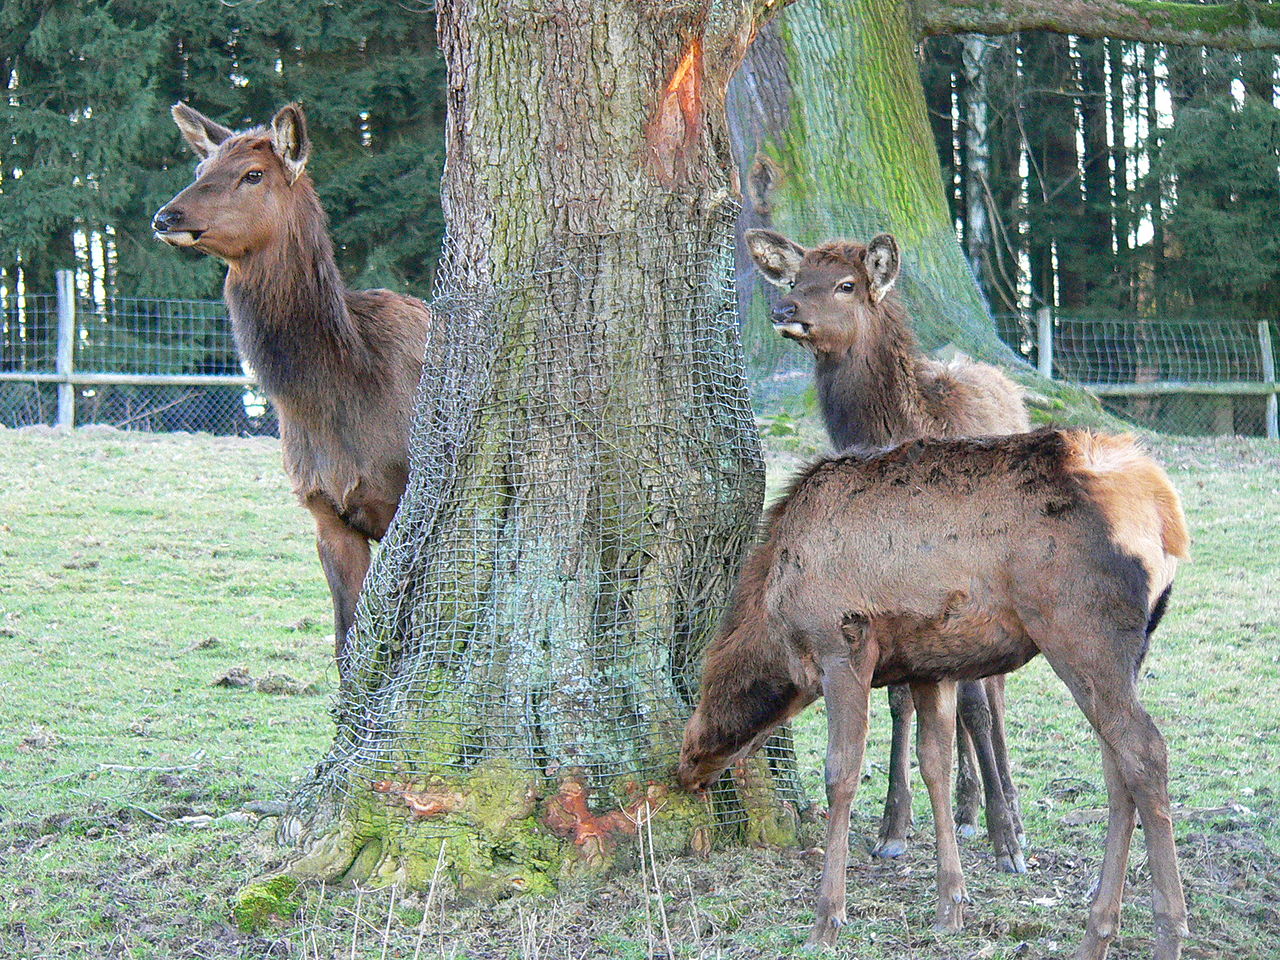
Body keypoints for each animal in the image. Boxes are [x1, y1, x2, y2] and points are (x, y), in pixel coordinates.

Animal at [152, 103, 432, 670]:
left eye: (253, 174)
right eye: (200, 169)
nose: (166, 217)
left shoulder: (405, 504)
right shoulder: (324, 510)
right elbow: (346, 646)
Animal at [680, 430, 1187, 960]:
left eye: (695, 716)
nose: (684, 771)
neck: (777, 619)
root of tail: (1164, 511)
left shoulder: (842, 643)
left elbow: (842, 773)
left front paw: (827, 917)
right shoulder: (930, 664)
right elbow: (934, 764)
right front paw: (951, 904)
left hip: (1080, 630)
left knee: (1146, 751)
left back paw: (1169, 931)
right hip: (1127, 650)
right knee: (1116, 770)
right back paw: (1097, 932)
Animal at [742, 231, 1029, 870]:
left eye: (846, 284)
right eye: (795, 278)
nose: (782, 309)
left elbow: (975, 706)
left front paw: (1007, 839)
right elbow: (900, 699)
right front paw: (892, 827)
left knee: (994, 692)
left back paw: (1005, 809)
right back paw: (968, 806)